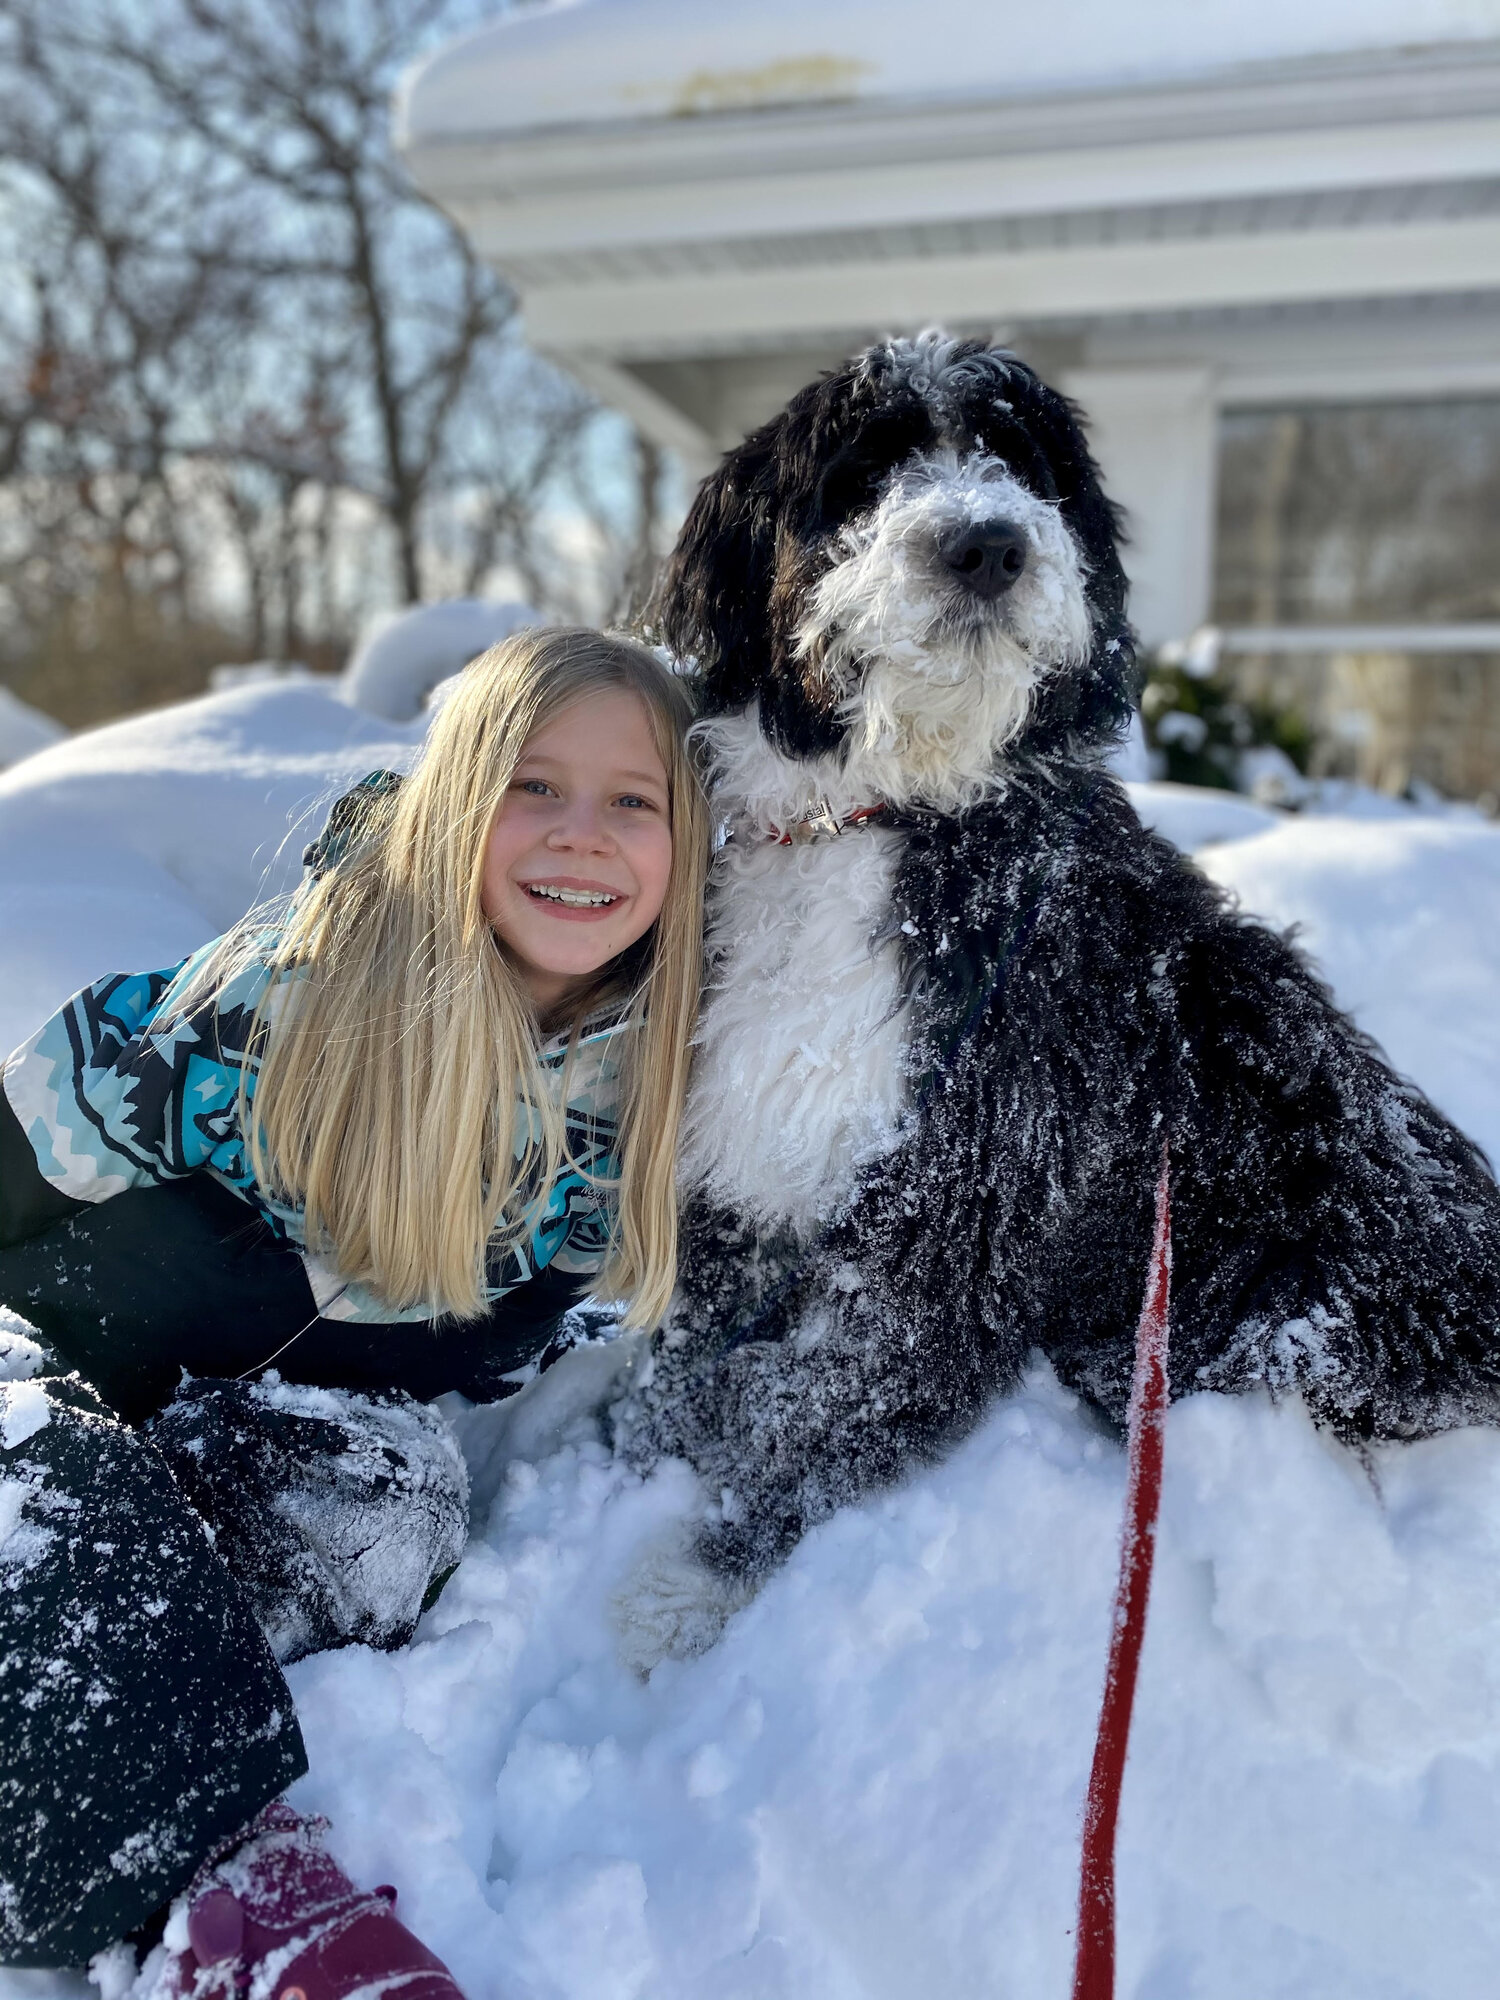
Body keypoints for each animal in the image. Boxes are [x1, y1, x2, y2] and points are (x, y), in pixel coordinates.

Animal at [620, 328, 1500, 1576]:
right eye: (866, 467)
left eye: (1019, 462)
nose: (988, 541)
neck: (890, 810)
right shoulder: (736, 1158)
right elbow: (684, 1354)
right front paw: (631, 1469)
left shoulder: (959, 1200)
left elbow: (820, 1405)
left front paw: (674, 1587)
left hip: (1283, 1297)